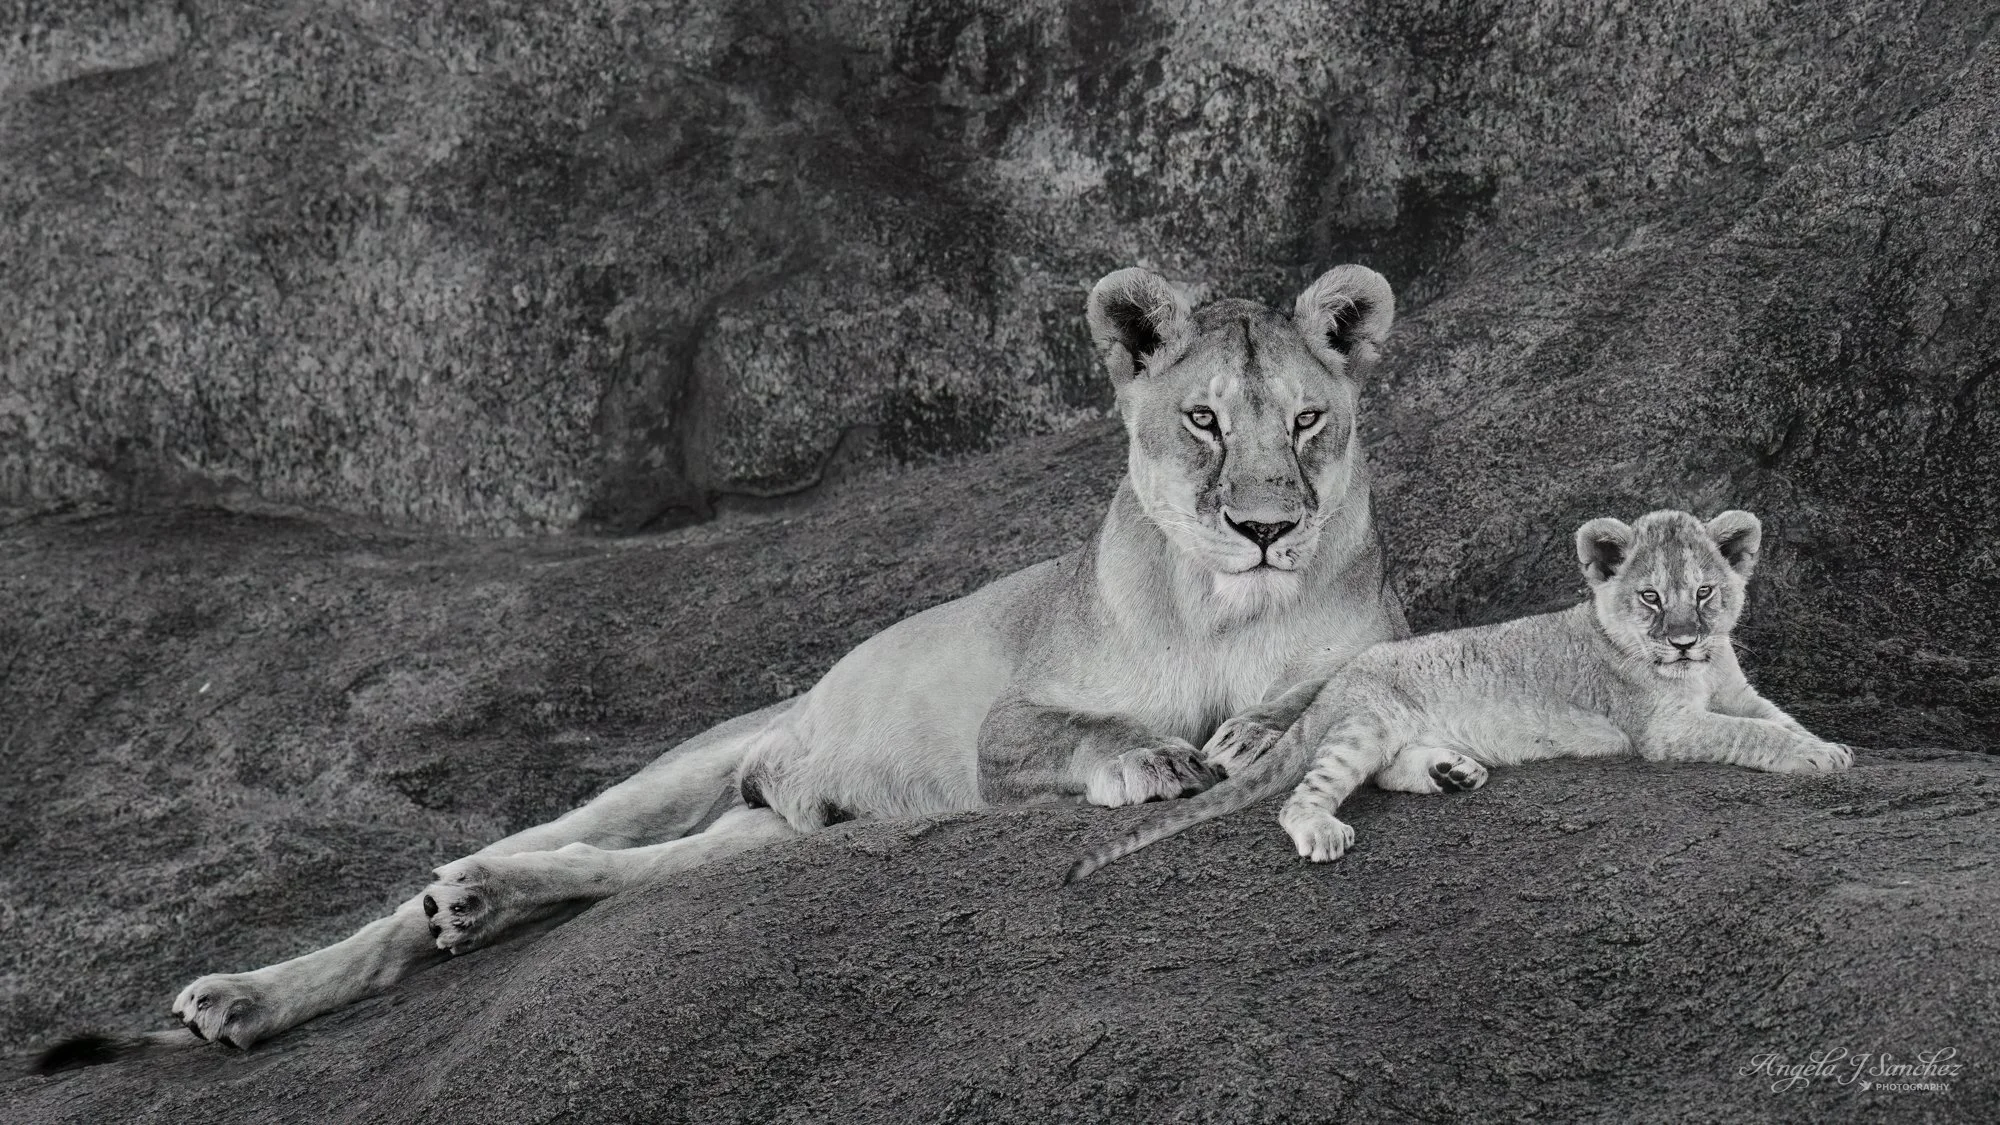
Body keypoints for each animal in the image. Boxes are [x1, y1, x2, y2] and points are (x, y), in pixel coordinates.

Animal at [37, 263, 1410, 1068]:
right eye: (1200, 420)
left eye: (1305, 420)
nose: (1265, 526)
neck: (1223, 610)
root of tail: (776, 771)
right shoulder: (1003, 721)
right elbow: (1076, 731)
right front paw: (1156, 759)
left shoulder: (1376, 640)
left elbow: (1331, 686)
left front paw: (1252, 732)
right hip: (676, 768)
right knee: (477, 878)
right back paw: (268, 986)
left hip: (759, 839)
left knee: (614, 879)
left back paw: (479, 904)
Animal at [1065, 508, 1855, 881]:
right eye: (1652, 597)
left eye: (1706, 591)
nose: (1687, 639)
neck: (1701, 670)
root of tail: (1341, 675)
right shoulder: (1665, 729)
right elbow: (1751, 734)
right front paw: (1818, 758)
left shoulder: (1737, 689)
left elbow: (1776, 716)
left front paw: (1826, 743)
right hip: (1366, 723)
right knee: (1309, 791)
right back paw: (1325, 829)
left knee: (1388, 772)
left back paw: (1455, 771)